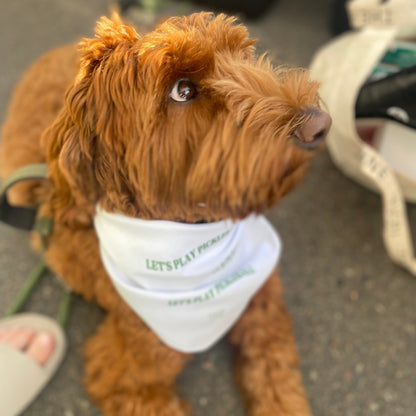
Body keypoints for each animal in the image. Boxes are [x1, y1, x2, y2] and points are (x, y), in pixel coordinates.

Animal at [0, 11, 332, 414]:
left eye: (244, 55)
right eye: (182, 91)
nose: (318, 124)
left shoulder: (263, 305)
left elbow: (276, 377)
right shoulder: (126, 375)